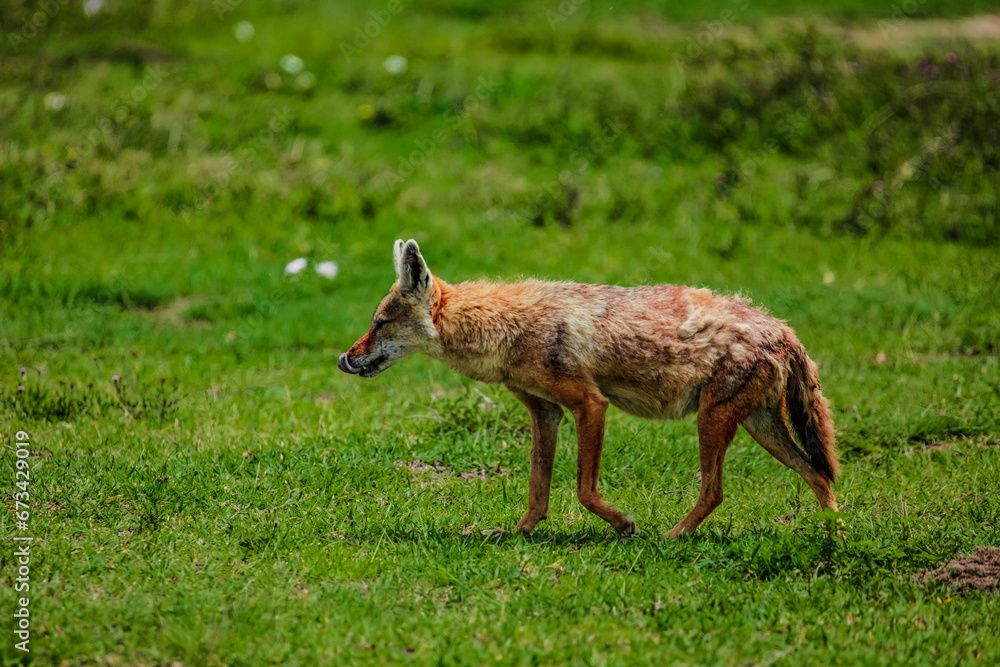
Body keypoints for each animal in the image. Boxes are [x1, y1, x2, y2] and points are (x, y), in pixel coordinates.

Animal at [339, 239, 839, 540]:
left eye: (379, 323)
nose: (345, 358)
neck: (505, 329)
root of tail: (783, 328)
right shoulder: (546, 413)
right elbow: (537, 488)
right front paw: (519, 533)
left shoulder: (590, 405)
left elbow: (583, 490)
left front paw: (624, 526)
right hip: (758, 427)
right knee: (819, 475)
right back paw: (835, 536)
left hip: (713, 422)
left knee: (717, 491)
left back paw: (672, 538)